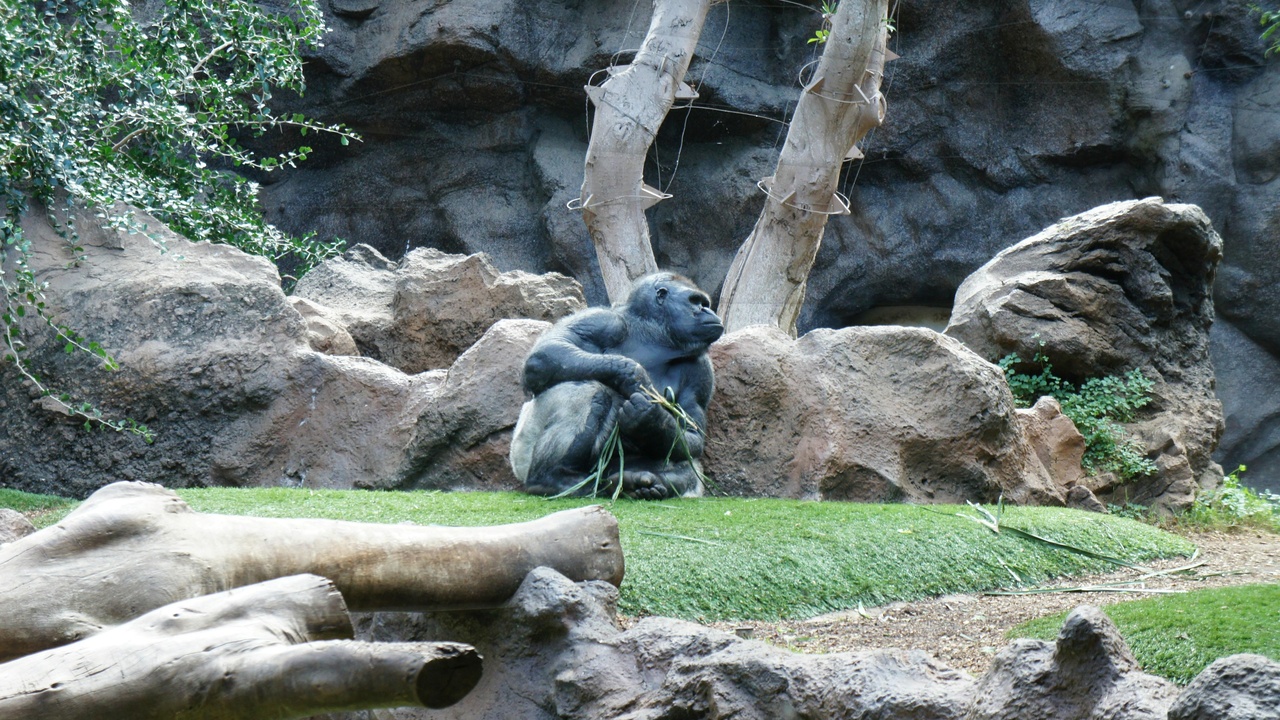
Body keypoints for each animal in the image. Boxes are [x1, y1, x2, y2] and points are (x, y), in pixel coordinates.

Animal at [509, 272, 724, 500]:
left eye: (704, 303)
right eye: (695, 301)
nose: (709, 311)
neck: (654, 335)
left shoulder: (700, 370)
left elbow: (692, 435)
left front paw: (651, 420)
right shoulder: (602, 320)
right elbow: (546, 352)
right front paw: (634, 375)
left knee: (687, 469)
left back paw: (636, 484)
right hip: (521, 454)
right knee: (590, 390)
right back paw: (552, 478)